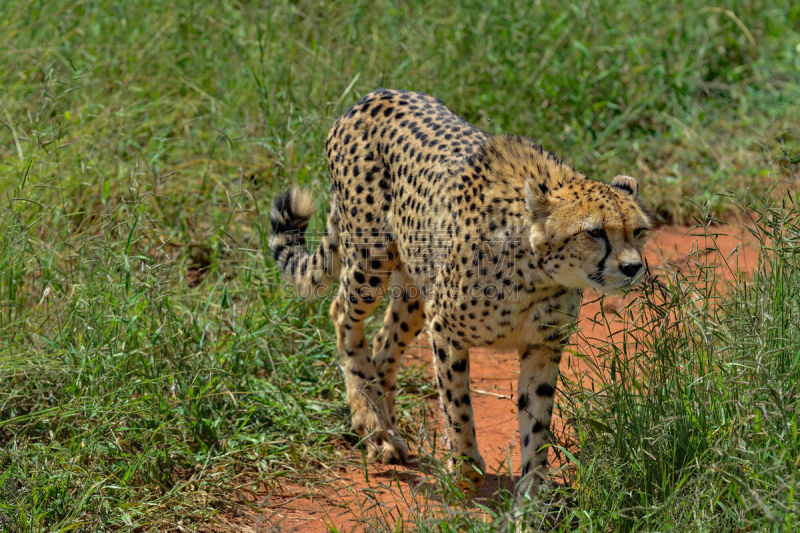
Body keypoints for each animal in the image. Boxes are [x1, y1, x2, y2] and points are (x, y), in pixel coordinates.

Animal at [270, 88, 648, 490]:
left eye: (639, 231)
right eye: (594, 232)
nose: (633, 267)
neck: (537, 273)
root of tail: (376, 94)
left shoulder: (542, 345)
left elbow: (537, 418)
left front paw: (534, 489)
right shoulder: (446, 329)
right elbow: (456, 402)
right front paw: (466, 467)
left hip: (414, 289)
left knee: (384, 344)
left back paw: (386, 429)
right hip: (371, 258)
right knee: (342, 315)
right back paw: (370, 423)